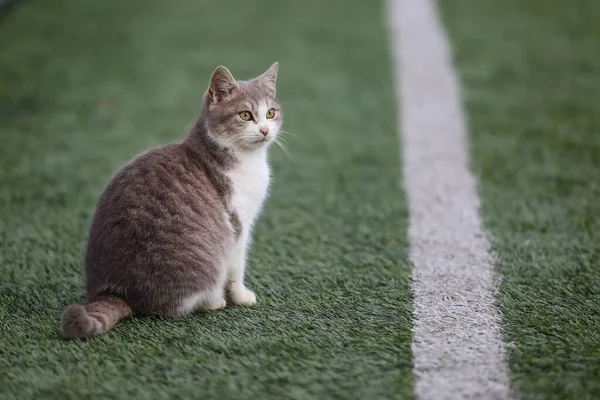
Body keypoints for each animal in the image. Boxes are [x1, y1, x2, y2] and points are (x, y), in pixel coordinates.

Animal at [61, 63, 284, 340]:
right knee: (176, 306)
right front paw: (241, 297)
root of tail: (118, 291)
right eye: (245, 115)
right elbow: (236, 269)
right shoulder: (237, 226)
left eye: (270, 113)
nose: (265, 130)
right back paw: (213, 301)